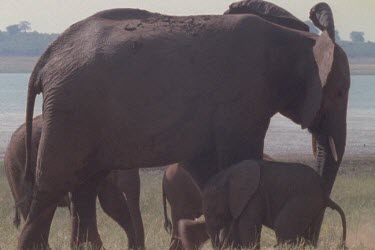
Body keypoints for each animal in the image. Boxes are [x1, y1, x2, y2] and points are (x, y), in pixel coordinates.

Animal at [181, 160, 348, 250]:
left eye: (212, 207)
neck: (228, 175)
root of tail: (325, 193)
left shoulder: (253, 197)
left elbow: (247, 226)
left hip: (304, 199)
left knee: (283, 226)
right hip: (314, 206)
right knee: (309, 233)